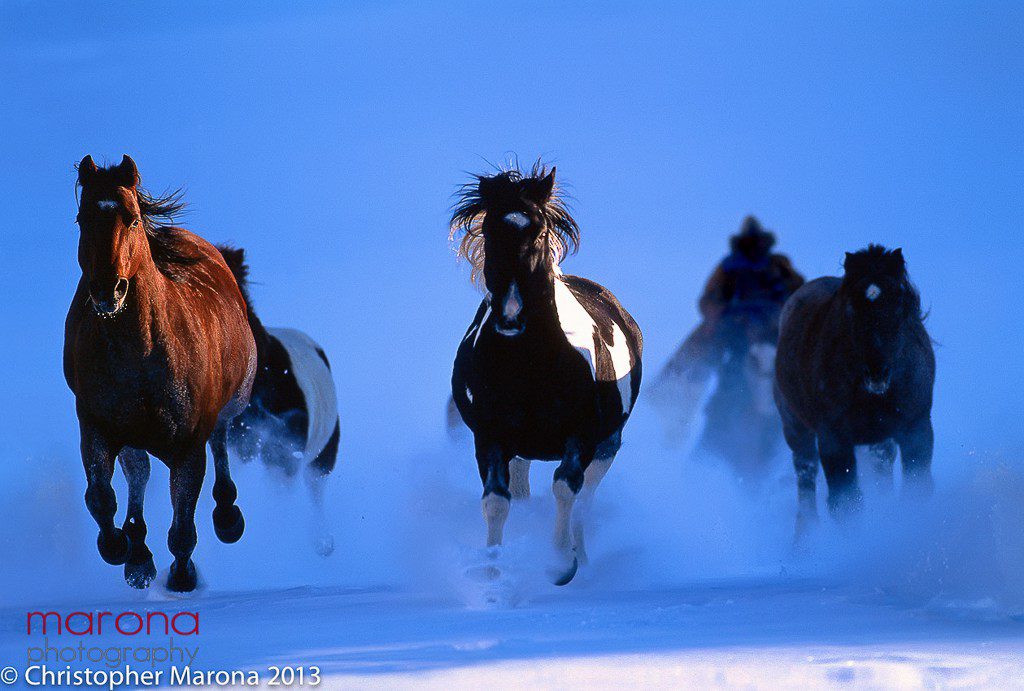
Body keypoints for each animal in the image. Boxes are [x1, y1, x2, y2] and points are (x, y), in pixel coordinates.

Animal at [63, 154, 256, 593]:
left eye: (132, 218)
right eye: (83, 218)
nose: (108, 291)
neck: (140, 355)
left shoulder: (187, 446)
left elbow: (183, 527)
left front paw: (182, 577)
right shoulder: (96, 427)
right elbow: (100, 497)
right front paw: (120, 549)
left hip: (232, 402)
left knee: (221, 440)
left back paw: (227, 517)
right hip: (132, 436)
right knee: (139, 473)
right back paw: (137, 554)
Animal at [448, 164, 638, 585]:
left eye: (537, 232)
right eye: (490, 233)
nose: (510, 318)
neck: (529, 365)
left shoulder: (581, 437)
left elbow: (566, 489)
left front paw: (560, 562)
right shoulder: (490, 437)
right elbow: (496, 502)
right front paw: (493, 571)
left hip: (608, 444)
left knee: (585, 500)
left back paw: (581, 556)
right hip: (522, 450)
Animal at [774, 245, 937, 536]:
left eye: (898, 304)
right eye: (850, 309)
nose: (876, 372)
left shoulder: (916, 429)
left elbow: (917, 489)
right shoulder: (834, 439)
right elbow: (846, 504)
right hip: (796, 428)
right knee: (805, 474)